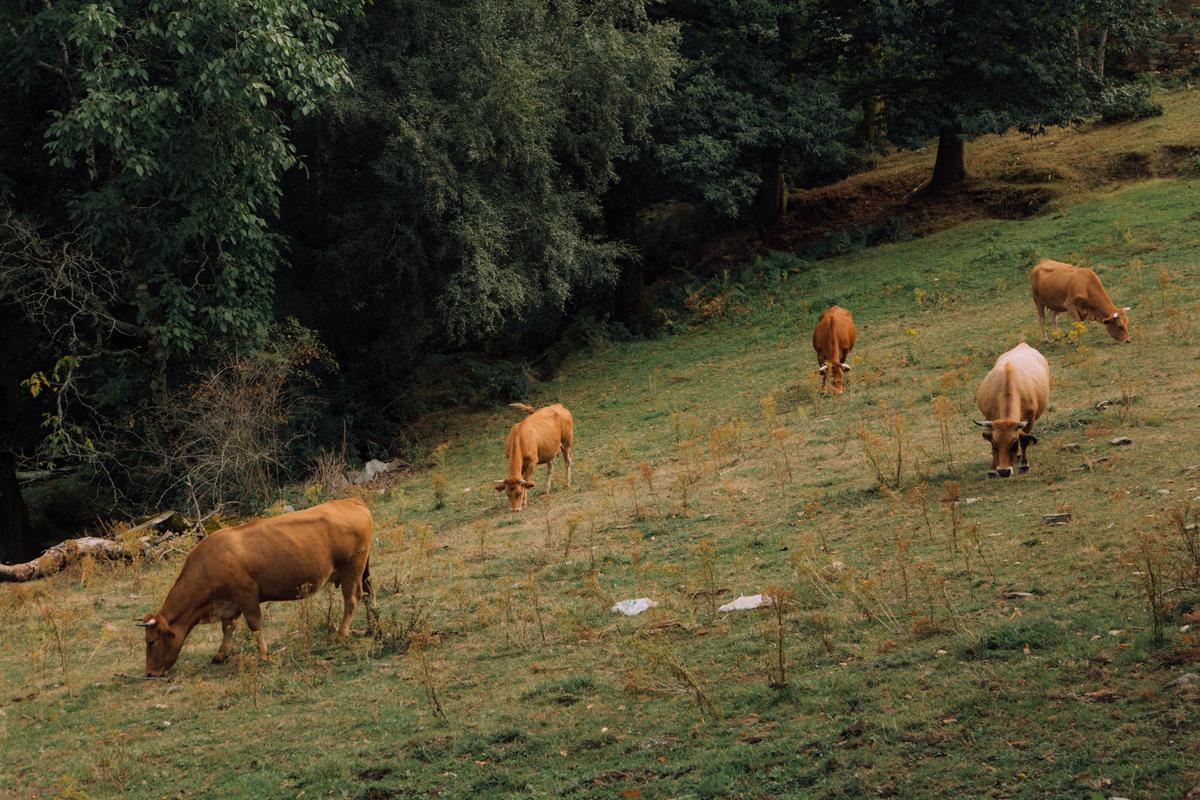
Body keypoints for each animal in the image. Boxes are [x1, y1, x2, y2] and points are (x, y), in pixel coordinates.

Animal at [137, 501, 369, 676]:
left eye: (151, 642)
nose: (150, 673)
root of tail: (350, 502)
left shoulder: (246, 594)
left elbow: (254, 624)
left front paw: (264, 654)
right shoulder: (229, 603)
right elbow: (228, 627)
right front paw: (220, 654)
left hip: (351, 569)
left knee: (351, 600)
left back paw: (341, 633)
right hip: (361, 571)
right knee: (367, 593)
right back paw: (370, 626)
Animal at [974, 343, 1051, 479]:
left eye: (1014, 444)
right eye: (995, 444)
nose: (1004, 471)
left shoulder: (1030, 420)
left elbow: (1024, 441)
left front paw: (1024, 465)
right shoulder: (989, 420)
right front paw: (992, 470)